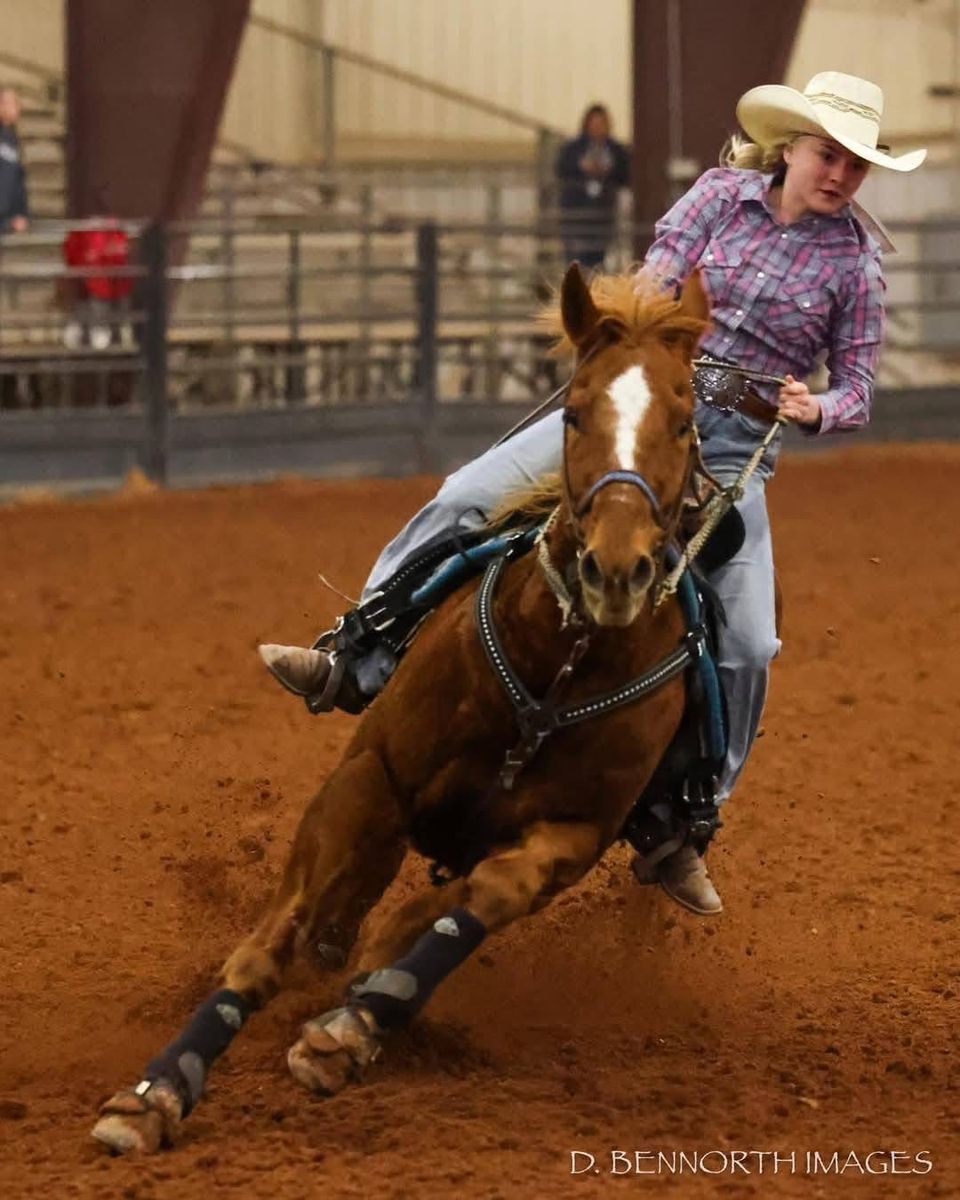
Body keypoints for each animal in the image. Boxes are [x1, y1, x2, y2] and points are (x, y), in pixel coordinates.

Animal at [92, 263, 711, 1154]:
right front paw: (155, 1092)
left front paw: (348, 1033)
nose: (616, 569)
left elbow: (476, 907)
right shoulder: (368, 780)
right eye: (573, 410)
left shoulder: (569, 839)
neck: (555, 671)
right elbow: (271, 945)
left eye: (687, 422)